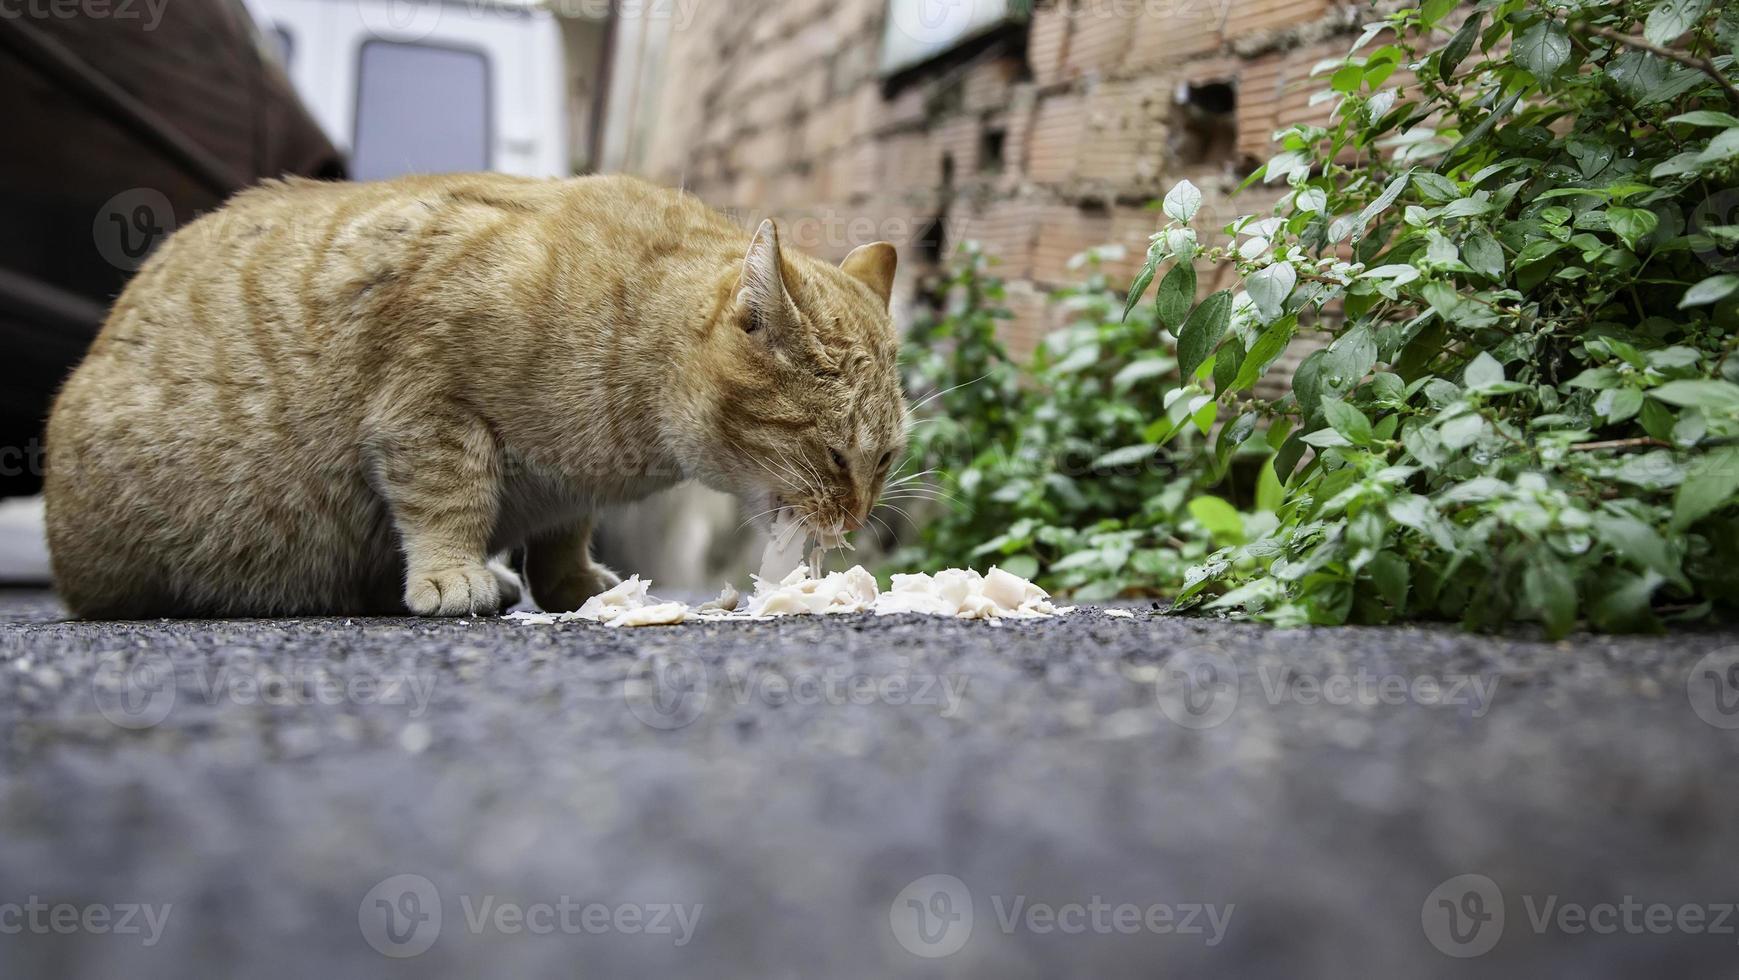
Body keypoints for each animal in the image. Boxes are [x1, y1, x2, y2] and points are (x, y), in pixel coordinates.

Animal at [44, 173, 911, 618]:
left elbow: (563, 534)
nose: (856, 519)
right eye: (834, 453)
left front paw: (570, 583)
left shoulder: (567, 487)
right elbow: (449, 500)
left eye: (884, 458)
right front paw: (453, 574)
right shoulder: (428, 409)